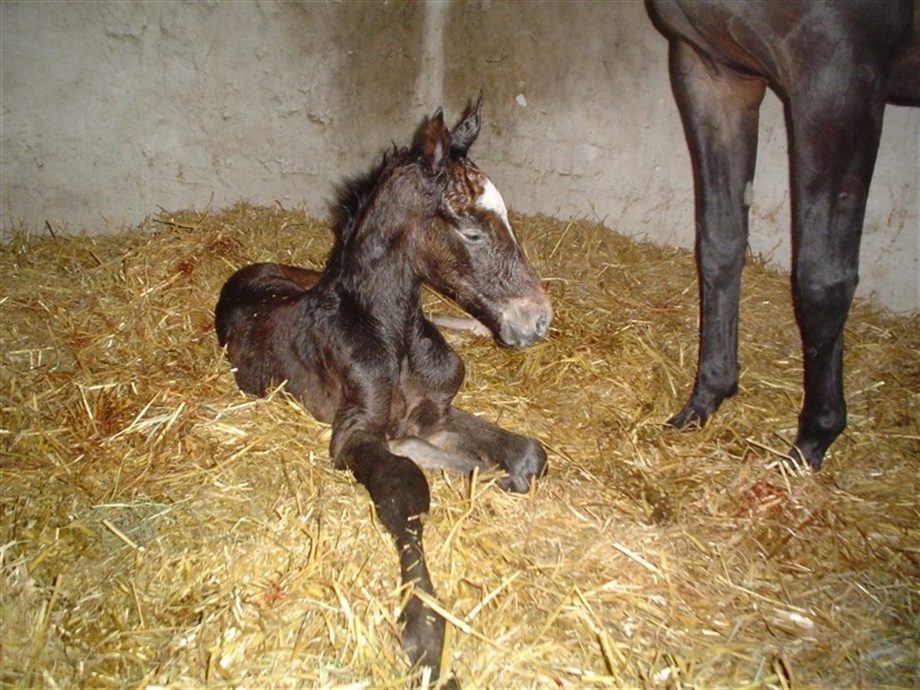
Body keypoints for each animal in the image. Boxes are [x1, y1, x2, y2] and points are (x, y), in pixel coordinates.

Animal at [214, 95, 552, 682]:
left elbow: (527, 454)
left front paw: (488, 470)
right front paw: (426, 629)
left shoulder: (436, 411)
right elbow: (404, 484)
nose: (538, 319)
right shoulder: (354, 432)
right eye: (472, 231)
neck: (389, 331)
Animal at [647, 0, 919, 470]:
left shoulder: (838, 73)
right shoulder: (713, 71)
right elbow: (720, 245)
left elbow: (822, 281)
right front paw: (708, 396)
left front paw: (816, 435)